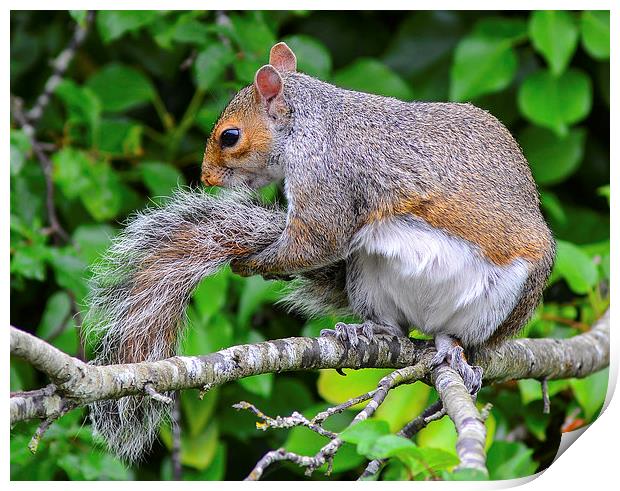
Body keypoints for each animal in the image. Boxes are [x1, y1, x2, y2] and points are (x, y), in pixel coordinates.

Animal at [85, 42, 556, 462]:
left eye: (229, 136)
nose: (206, 178)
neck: (307, 122)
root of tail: (427, 322)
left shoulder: (326, 174)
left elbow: (318, 239)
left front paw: (254, 261)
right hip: (369, 278)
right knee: (395, 325)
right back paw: (367, 332)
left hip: (505, 299)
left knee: (463, 334)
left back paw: (453, 349)